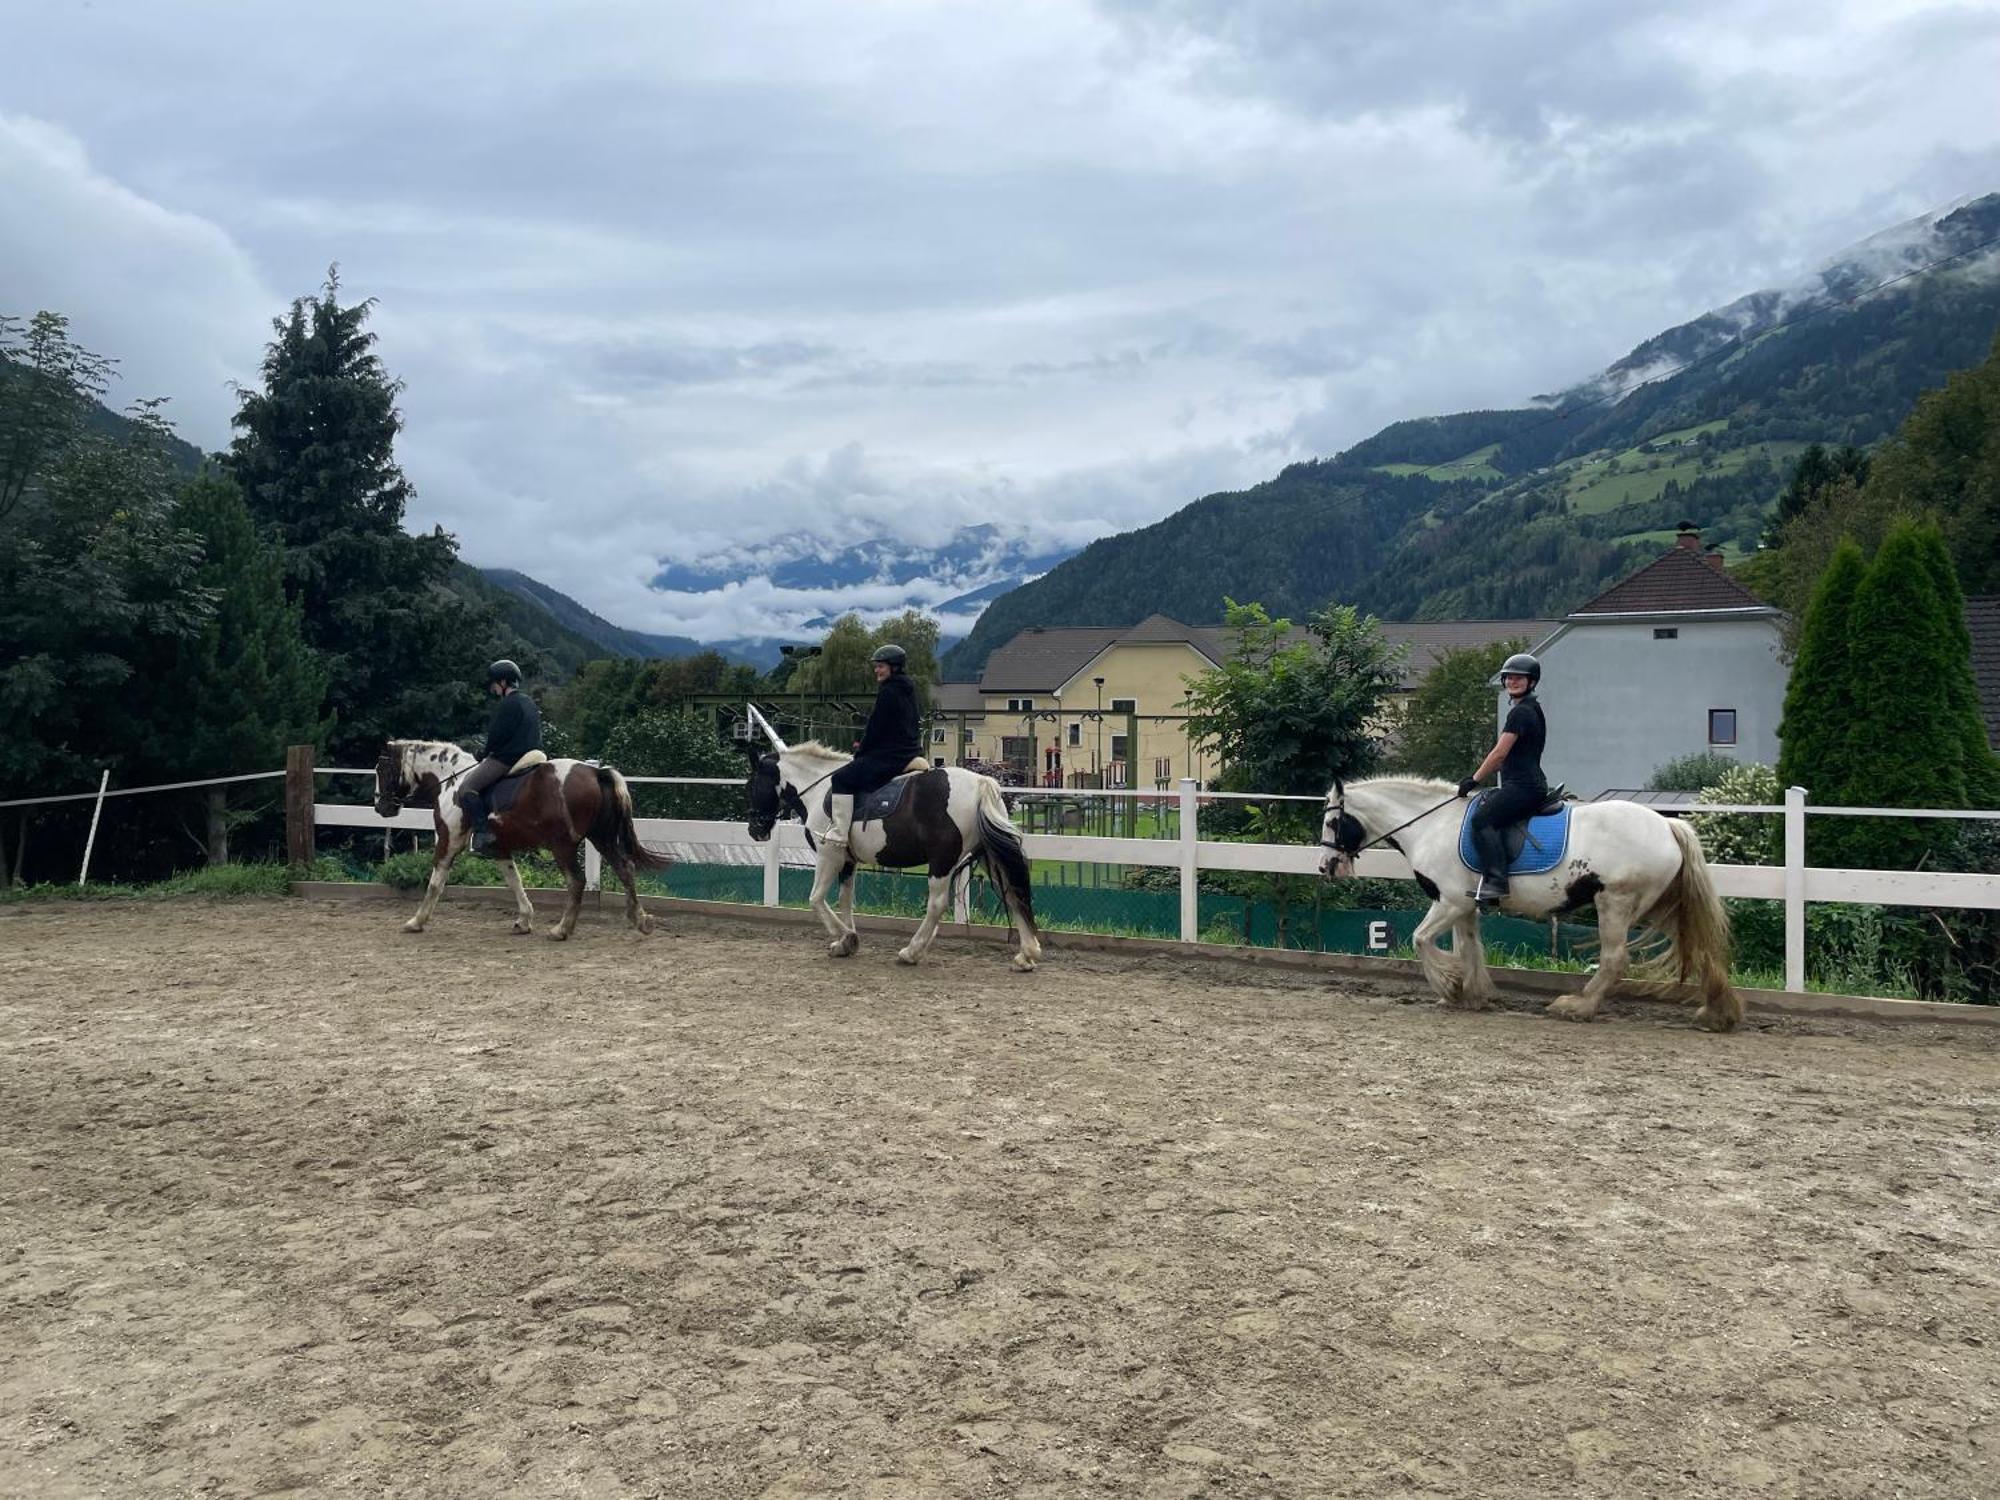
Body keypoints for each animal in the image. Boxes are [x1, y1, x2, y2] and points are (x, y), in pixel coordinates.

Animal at [368, 748, 664, 944]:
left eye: (381, 770)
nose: (381, 807)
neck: (451, 781)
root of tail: (595, 771)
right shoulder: (499, 847)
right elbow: (514, 880)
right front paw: (524, 920)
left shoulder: (448, 840)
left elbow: (435, 883)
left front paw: (416, 921)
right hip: (600, 836)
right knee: (625, 868)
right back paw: (641, 920)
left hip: (563, 844)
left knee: (576, 880)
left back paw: (562, 929)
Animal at [744, 744, 1040, 976]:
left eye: (752, 785)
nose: (755, 830)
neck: (819, 791)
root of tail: (980, 784)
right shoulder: (848, 862)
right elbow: (845, 899)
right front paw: (846, 942)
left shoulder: (830, 856)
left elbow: (816, 898)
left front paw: (846, 937)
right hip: (990, 854)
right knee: (1013, 893)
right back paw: (1026, 955)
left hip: (941, 861)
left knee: (937, 904)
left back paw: (912, 951)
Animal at [1320, 776, 1744, 1032]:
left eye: (1331, 823)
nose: (1325, 866)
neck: (1431, 826)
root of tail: (1668, 826)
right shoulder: (1464, 906)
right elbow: (1469, 947)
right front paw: (1474, 993)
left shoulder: (1450, 901)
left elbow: (1421, 940)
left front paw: (1451, 987)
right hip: (1661, 907)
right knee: (1701, 949)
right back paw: (1718, 1012)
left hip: (1616, 903)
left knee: (1614, 959)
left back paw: (1578, 1006)